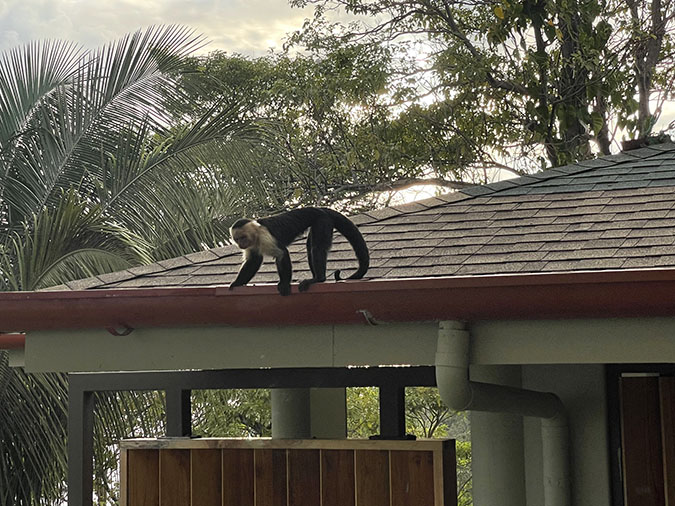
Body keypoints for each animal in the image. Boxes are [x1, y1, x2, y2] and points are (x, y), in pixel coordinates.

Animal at [231, 208, 370, 296]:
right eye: (237, 239)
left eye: (242, 237)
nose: (240, 244)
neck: (256, 235)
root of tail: (321, 209)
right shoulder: (252, 245)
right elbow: (254, 260)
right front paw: (238, 283)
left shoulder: (265, 236)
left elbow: (282, 254)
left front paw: (284, 283)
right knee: (310, 249)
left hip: (323, 221)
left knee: (317, 248)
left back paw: (319, 279)